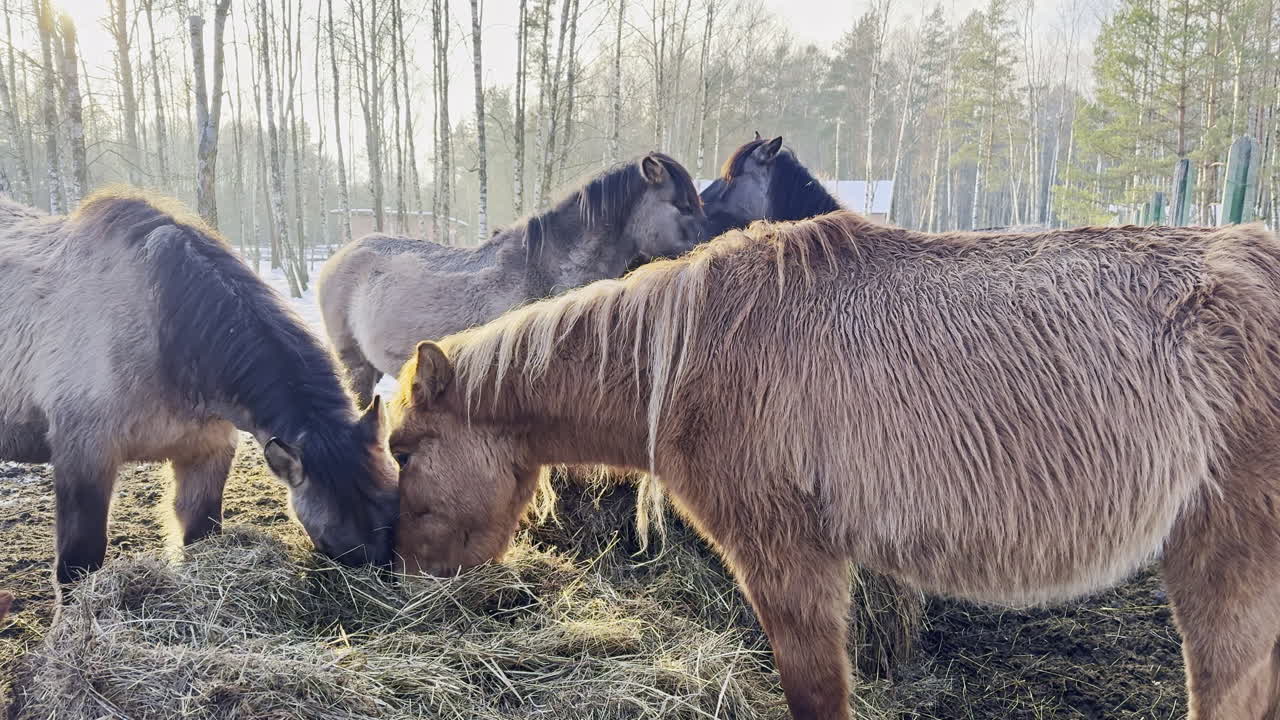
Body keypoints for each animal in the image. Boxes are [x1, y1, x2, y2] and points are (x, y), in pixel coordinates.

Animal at [0, 189, 399, 583]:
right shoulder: (84, 457)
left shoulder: (206, 451)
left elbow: (199, 532)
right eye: (329, 542)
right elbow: (78, 563)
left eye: (393, 506)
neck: (158, 328)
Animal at [387, 210, 1280, 720]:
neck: (694, 350)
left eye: (403, 449)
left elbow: (816, 694)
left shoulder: (790, 563)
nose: (405, 573)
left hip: (1226, 568)